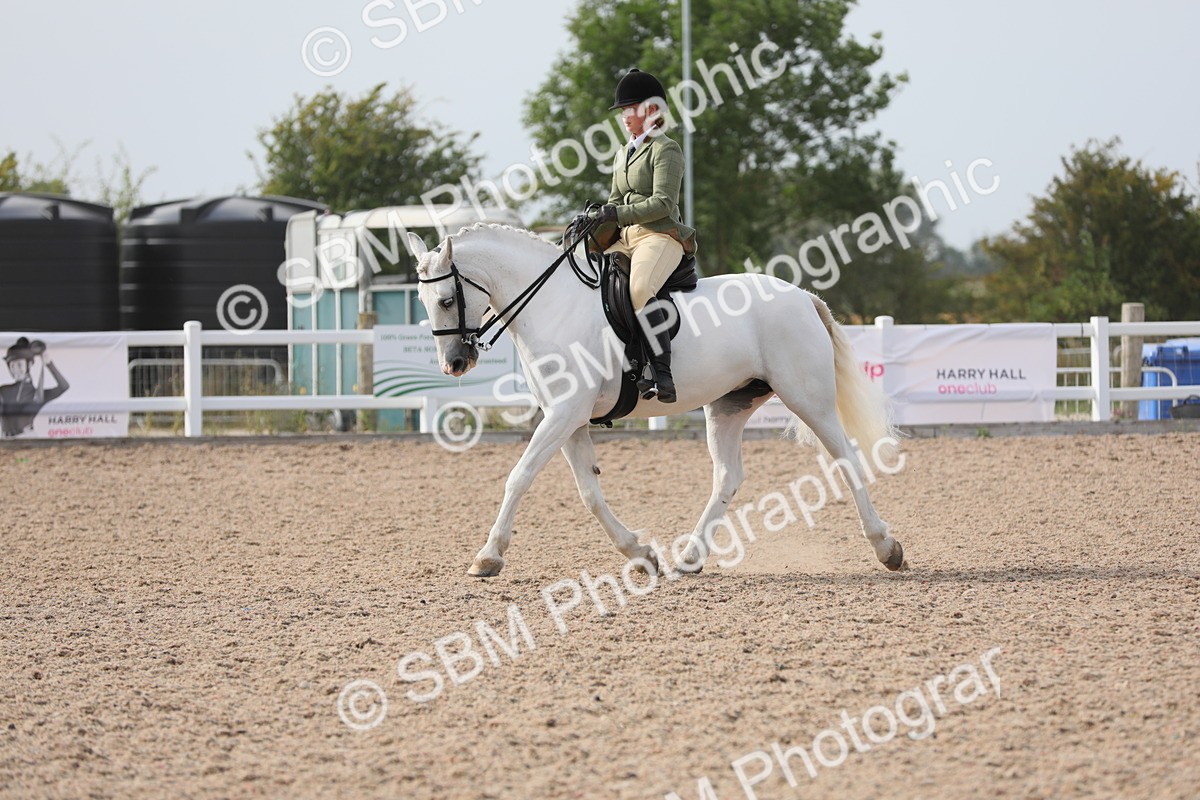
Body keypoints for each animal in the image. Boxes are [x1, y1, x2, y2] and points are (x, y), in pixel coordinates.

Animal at [407, 224, 905, 578]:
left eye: (447, 299)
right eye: (421, 299)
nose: (454, 363)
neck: (553, 307)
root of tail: (803, 297)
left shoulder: (563, 415)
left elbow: (519, 477)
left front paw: (488, 556)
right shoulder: (569, 419)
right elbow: (589, 493)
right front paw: (640, 553)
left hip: (807, 397)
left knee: (845, 458)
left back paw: (886, 547)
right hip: (727, 406)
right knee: (728, 477)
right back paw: (689, 557)